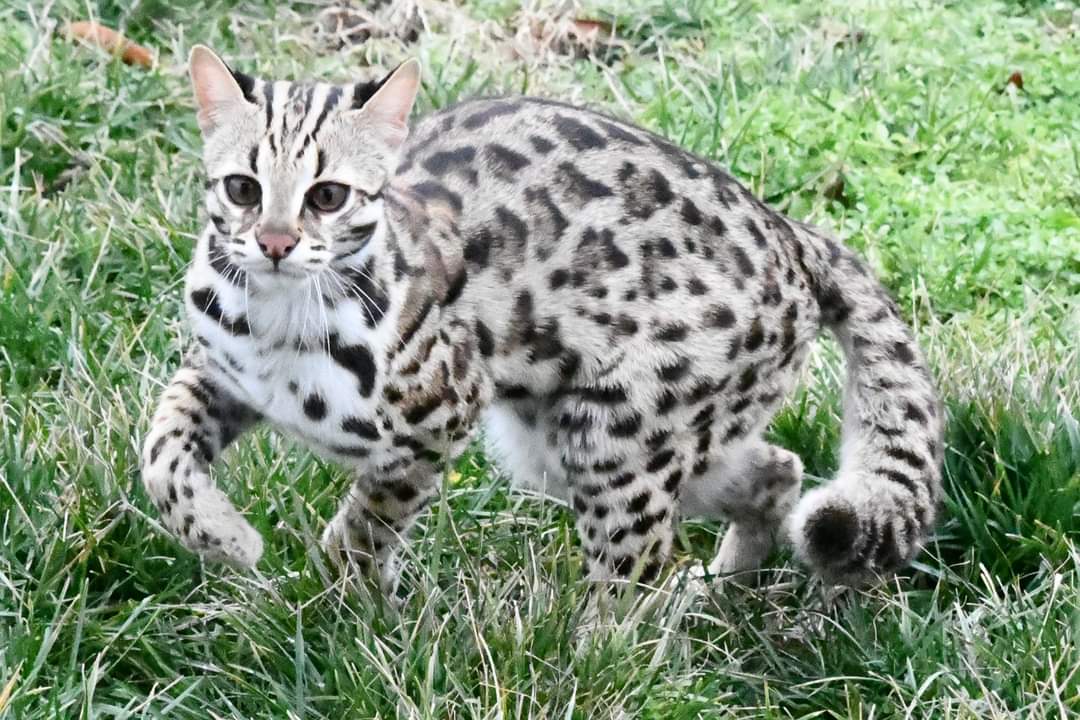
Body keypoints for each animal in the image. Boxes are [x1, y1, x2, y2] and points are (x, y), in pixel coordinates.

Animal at [141, 47, 946, 595]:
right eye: (242, 188)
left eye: (328, 195)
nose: (275, 244)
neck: (279, 317)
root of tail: (794, 233)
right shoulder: (223, 373)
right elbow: (160, 451)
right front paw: (225, 537)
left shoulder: (440, 415)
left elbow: (368, 521)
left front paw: (348, 602)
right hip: (563, 444)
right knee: (778, 470)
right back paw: (724, 590)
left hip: (617, 437)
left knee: (632, 577)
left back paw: (599, 662)